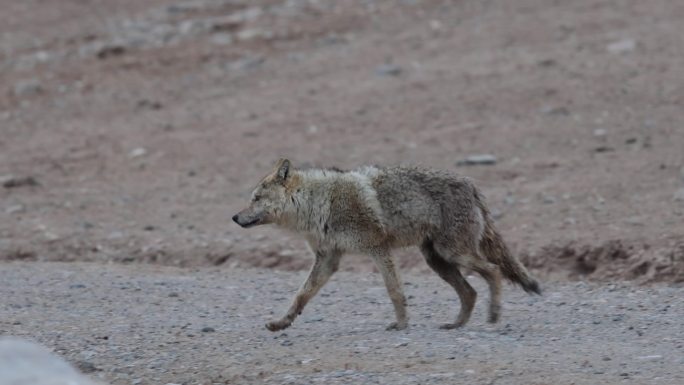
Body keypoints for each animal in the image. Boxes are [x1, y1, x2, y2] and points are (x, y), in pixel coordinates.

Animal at [232, 158, 544, 330]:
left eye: (256, 198)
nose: (234, 217)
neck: (319, 203)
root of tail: (471, 184)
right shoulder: (328, 260)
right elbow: (300, 296)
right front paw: (281, 323)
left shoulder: (378, 249)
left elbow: (394, 291)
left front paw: (402, 324)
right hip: (439, 261)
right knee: (470, 292)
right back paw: (456, 324)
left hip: (453, 254)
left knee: (493, 271)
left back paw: (493, 314)